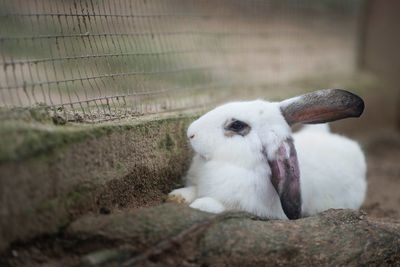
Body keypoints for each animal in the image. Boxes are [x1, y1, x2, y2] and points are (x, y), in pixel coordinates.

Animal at [167, 90, 368, 220]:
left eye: (236, 125)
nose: (191, 133)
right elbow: (192, 190)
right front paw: (176, 196)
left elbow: (215, 205)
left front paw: (199, 205)